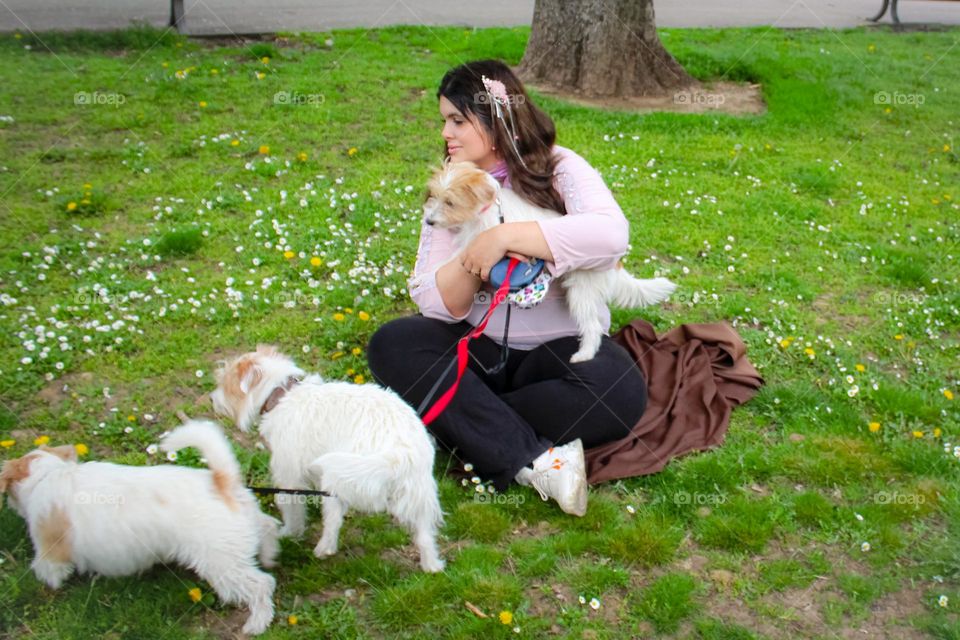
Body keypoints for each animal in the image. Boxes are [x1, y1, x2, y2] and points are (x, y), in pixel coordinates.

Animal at [1, 420, 282, 636]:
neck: (45, 476)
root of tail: (221, 481)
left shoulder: (49, 551)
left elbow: (47, 570)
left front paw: (50, 587)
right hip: (246, 527)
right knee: (269, 527)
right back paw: (269, 556)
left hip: (223, 564)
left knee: (262, 584)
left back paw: (257, 623)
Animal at [212, 348, 444, 572]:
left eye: (225, 383)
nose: (212, 399)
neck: (282, 394)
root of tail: (399, 453)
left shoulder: (288, 477)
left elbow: (290, 508)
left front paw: (289, 533)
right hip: (417, 493)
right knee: (424, 534)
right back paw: (431, 566)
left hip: (338, 479)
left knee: (333, 520)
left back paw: (325, 548)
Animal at [424, 160, 680, 362]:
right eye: (435, 197)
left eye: (450, 202)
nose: (428, 221)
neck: (487, 208)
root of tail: (615, 264)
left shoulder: (481, 242)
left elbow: (457, 256)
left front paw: (432, 271)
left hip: (581, 292)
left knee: (593, 327)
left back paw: (583, 355)